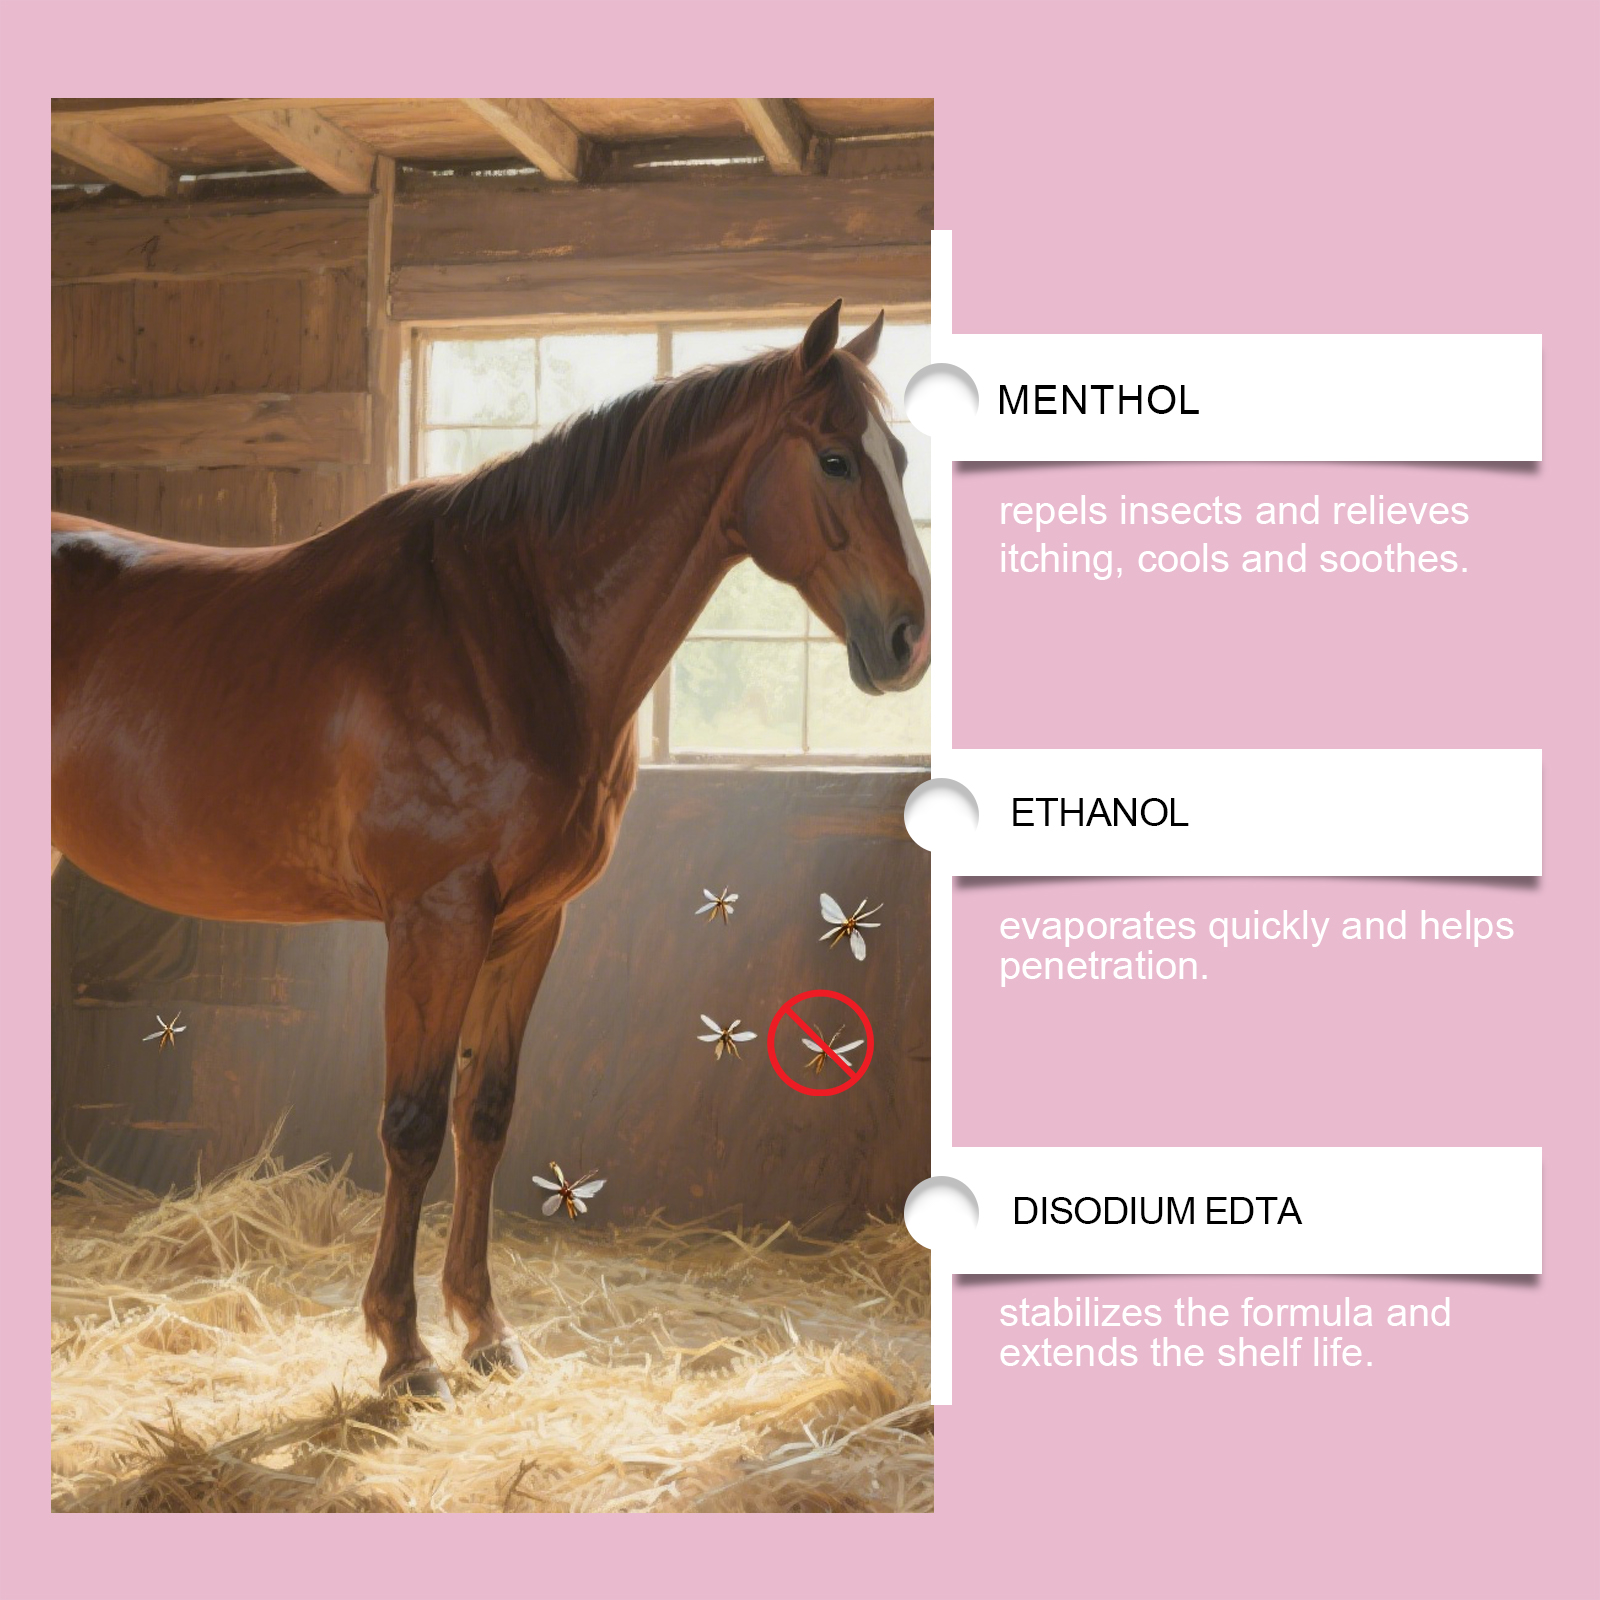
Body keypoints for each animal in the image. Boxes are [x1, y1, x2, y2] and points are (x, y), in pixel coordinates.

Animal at [51, 301, 931, 1401]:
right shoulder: (435, 918)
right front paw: (403, 1346)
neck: (516, 631)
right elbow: (414, 1123)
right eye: (835, 460)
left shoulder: (528, 921)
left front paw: (483, 1327)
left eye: (898, 455)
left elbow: (485, 1114)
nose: (908, 640)